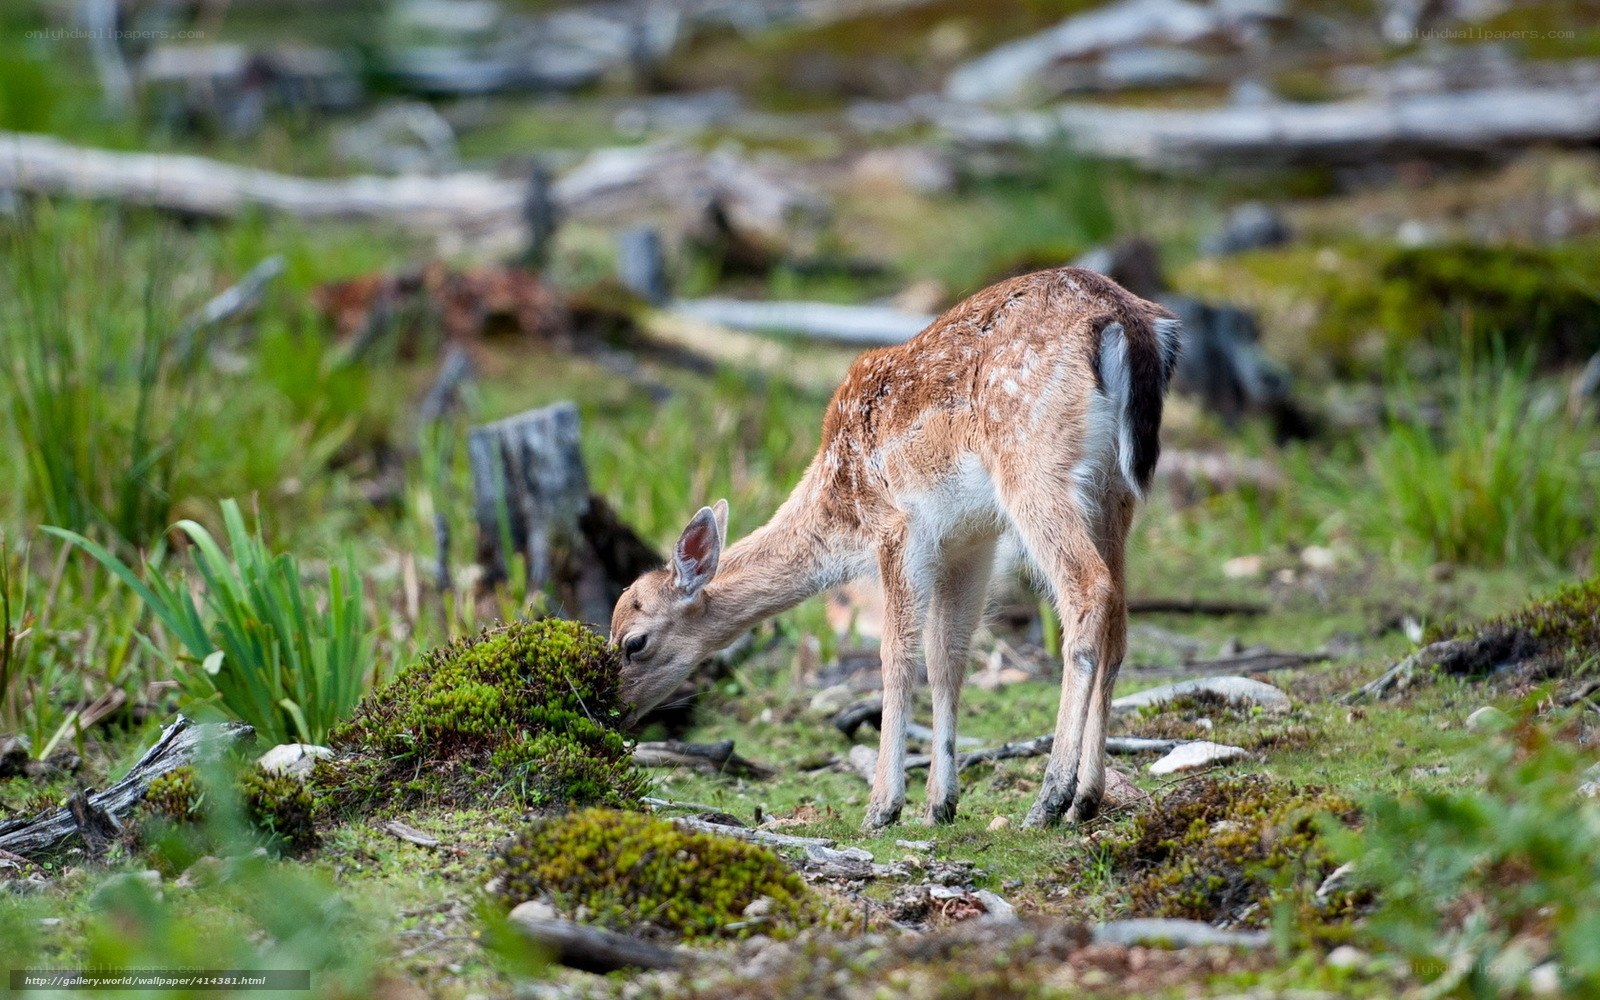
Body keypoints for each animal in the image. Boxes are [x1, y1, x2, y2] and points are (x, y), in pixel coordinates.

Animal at [610, 266, 1180, 829]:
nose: (610, 710)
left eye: (633, 642)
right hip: (1115, 492)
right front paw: (939, 804)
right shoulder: (970, 540)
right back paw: (1087, 797)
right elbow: (947, 653)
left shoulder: (897, 527)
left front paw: (883, 806)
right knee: (1119, 621)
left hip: (1034, 465)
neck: (836, 506)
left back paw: (1050, 798)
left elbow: (895, 654)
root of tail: (1130, 321)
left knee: (1086, 588)